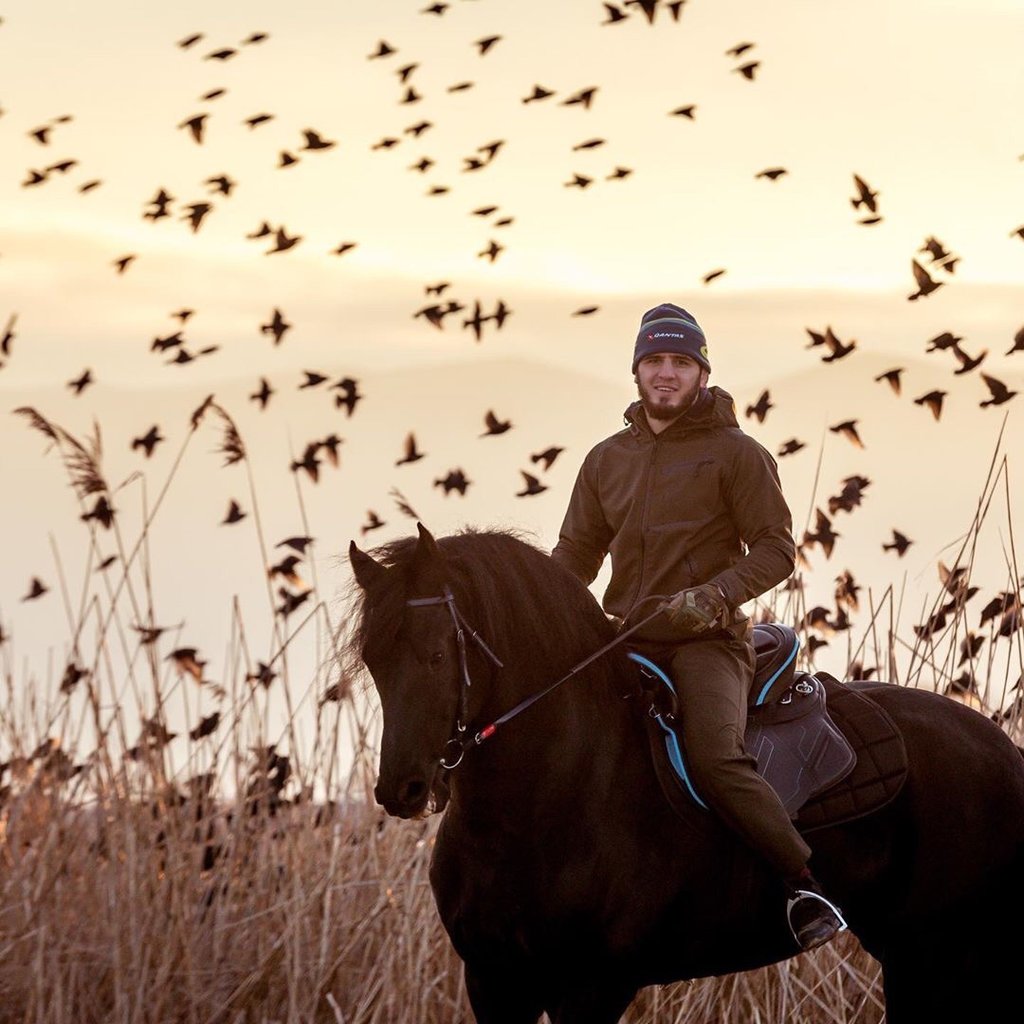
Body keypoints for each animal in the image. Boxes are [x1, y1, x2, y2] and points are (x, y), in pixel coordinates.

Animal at [346, 528, 1024, 1024]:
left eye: (438, 655)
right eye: (373, 660)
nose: (401, 789)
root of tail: (1002, 748)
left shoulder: (593, 985)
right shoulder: (493, 981)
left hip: (937, 954)